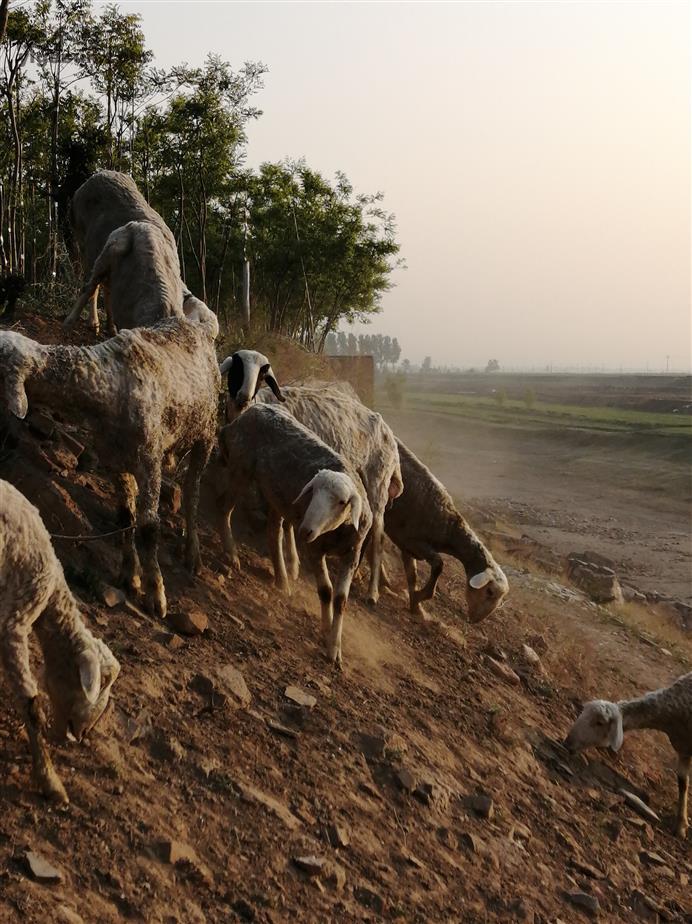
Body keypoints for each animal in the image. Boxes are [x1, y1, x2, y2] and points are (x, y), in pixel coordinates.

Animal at [0, 318, 220, 619]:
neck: (107, 383)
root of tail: (194, 324)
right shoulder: (116, 463)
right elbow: (126, 517)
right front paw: (130, 577)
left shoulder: (149, 461)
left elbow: (148, 527)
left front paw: (156, 594)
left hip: (206, 433)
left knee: (192, 492)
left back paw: (192, 553)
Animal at [217, 403, 372, 667]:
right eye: (313, 491)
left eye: (341, 502)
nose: (306, 530)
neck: (336, 533)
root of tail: (254, 409)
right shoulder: (315, 549)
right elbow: (326, 591)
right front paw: (324, 630)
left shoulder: (352, 554)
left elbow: (341, 599)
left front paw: (335, 648)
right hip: (240, 468)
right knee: (225, 508)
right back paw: (232, 552)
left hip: (276, 494)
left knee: (273, 531)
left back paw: (282, 579)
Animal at [250, 382, 403, 605]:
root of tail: (390, 436)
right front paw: (291, 566)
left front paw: (290, 566)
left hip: (378, 487)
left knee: (377, 538)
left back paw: (372, 591)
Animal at [381, 439, 508, 621]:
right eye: (489, 592)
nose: (477, 620)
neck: (449, 529)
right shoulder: (412, 541)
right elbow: (438, 564)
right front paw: (421, 596)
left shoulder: (407, 546)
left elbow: (412, 575)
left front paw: (416, 607)